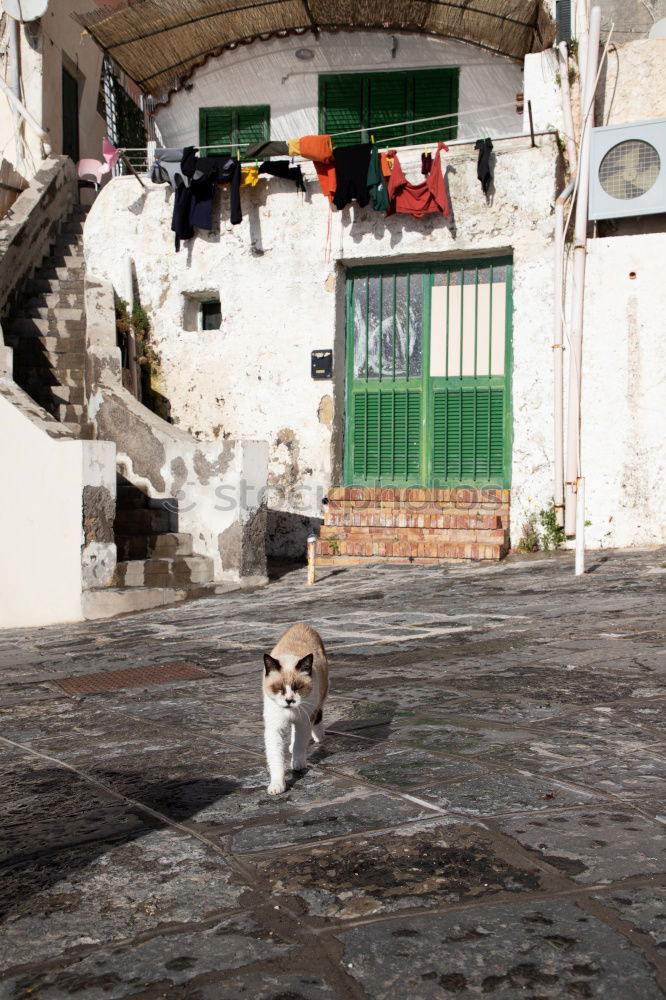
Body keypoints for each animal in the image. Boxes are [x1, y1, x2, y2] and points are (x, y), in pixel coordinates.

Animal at [262, 624, 330, 796]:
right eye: (279, 688)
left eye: (298, 688)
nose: (289, 700)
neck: (289, 712)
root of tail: (302, 625)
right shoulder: (274, 729)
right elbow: (276, 760)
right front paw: (277, 786)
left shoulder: (303, 721)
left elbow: (300, 744)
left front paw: (298, 764)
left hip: (319, 697)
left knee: (317, 717)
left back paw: (318, 737)